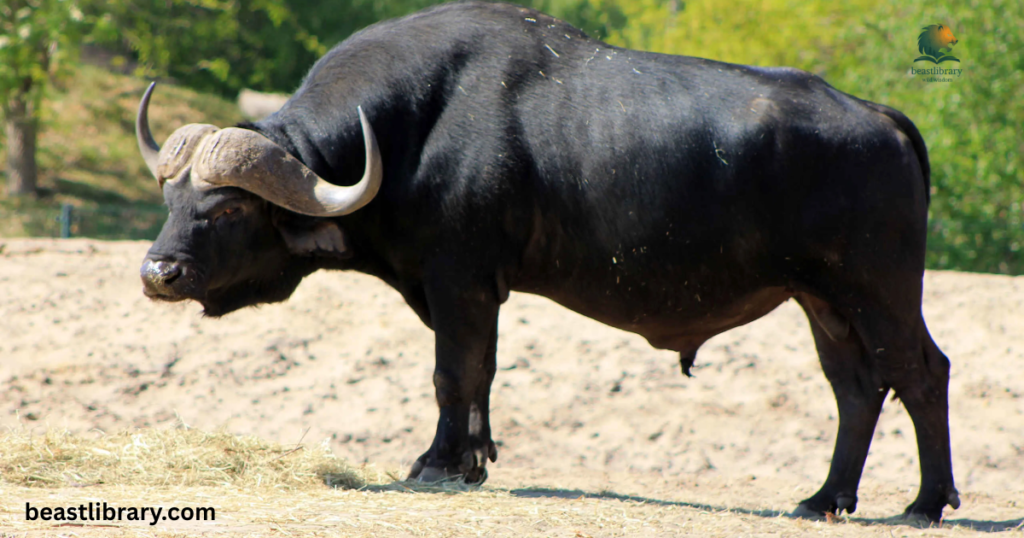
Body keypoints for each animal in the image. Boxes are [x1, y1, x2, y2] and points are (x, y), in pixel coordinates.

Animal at [137, 1, 958, 521]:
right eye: (172, 195)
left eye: (230, 209)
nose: (157, 274)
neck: (406, 132)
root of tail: (879, 117)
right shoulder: (472, 291)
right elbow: (479, 377)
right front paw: (472, 460)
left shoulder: (458, 279)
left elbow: (453, 374)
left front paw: (437, 464)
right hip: (822, 300)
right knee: (857, 388)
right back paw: (825, 498)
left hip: (878, 288)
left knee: (921, 372)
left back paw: (924, 503)